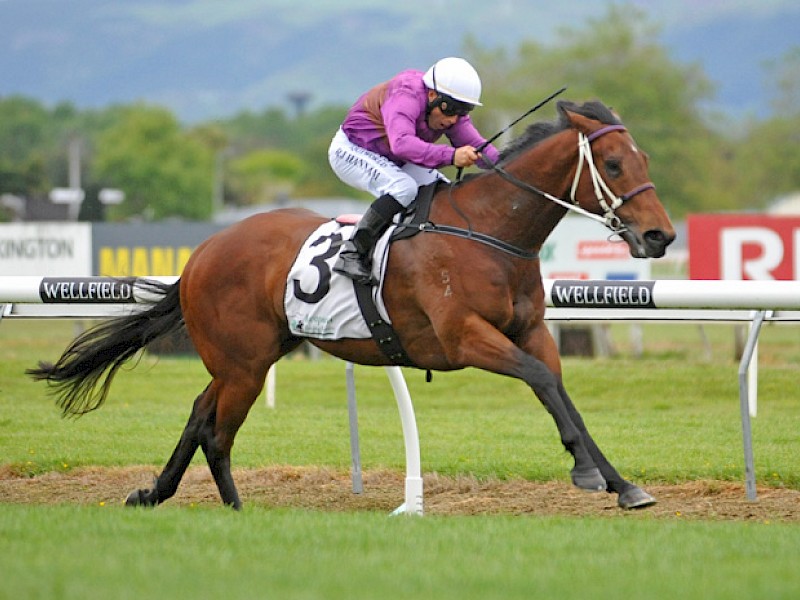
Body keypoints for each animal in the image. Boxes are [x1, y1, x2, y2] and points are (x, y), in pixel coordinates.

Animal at [26, 99, 676, 510]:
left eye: (645, 161)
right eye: (613, 164)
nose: (660, 237)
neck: (489, 232)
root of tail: (202, 253)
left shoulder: (532, 331)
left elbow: (560, 392)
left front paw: (621, 484)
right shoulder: (465, 338)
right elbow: (541, 380)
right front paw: (590, 473)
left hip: (250, 356)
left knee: (198, 413)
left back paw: (155, 493)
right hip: (245, 364)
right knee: (216, 431)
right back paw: (237, 512)